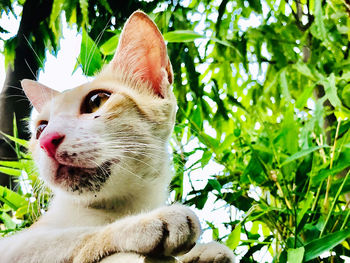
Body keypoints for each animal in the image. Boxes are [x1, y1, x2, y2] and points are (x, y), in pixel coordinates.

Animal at [0, 10, 235, 263]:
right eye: (41, 129)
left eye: (97, 101)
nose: (47, 140)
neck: (117, 208)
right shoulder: (16, 245)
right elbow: (73, 236)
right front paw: (144, 223)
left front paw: (203, 253)